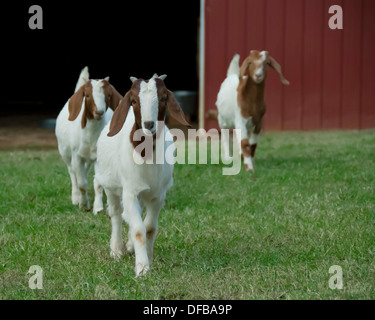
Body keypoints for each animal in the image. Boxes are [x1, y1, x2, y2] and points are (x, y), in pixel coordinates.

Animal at [55, 66, 122, 211]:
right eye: (87, 95)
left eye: (109, 95)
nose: (99, 112)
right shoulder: (76, 156)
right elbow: (81, 183)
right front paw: (83, 204)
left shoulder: (98, 157)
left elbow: (98, 183)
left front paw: (98, 207)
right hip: (65, 152)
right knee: (72, 173)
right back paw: (75, 197)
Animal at [94, 74, 191, 276]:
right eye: (133, 101)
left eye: (163, 98)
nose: (148, 125)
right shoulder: (130, 192)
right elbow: (138, 229)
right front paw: (142, 267)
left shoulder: (158, 196)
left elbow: (149, 228)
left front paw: (148, 257)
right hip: (110, 186)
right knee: (116, 214)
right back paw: (117, 249)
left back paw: (129, 246)